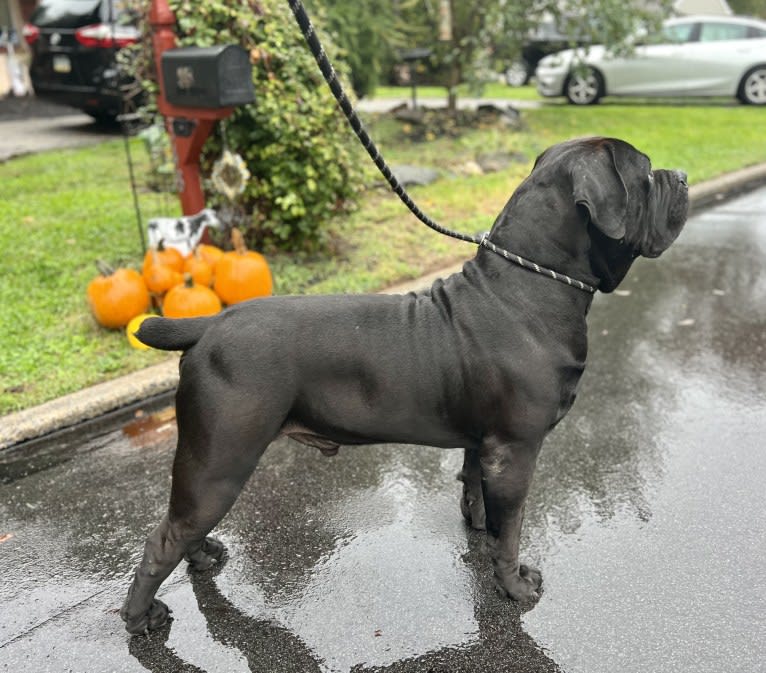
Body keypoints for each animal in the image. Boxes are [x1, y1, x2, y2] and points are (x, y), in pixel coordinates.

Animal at [121, 139, 688, 632]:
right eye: (646, 171)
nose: (681, 175)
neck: (530, 286)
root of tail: (209, 324)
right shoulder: (517, 451)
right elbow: (512, 528)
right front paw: (514, 586)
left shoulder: (486, 446)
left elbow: (476, 491)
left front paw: (477, 530)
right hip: (221, 458)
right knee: (161, 539)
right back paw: (140, 619)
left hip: (211, 466)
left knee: (183, 525)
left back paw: (202, 557)